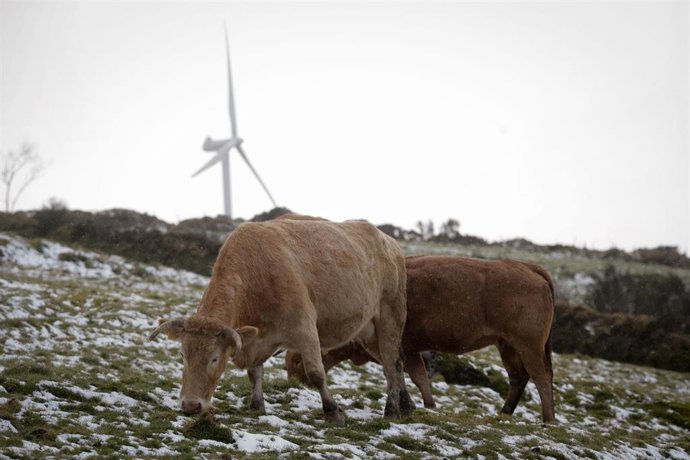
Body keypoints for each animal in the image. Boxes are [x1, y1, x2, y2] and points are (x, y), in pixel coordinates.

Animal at [149, 216, 414, 423]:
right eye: (182, 355)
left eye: (214, 358)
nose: (190, 405)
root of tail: (388, 241)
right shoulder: (255, 339)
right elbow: (254, 373)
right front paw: (257, 405)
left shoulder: (305, 328)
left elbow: (316, 373)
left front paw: (332, 411)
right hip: (368, 333)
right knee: (397, 363)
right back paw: (406, 405)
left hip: (391, 318)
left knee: (391, 364)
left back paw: (391, 410)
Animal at [287, 255, 556, 423]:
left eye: (297, 361)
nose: (294, 382)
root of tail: (528, 268)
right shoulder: (409, 350)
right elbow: (417, 376)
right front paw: (425, 406)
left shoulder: (390, 347)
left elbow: (400, 373)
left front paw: (406, 407)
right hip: (507, 346)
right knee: (519, 378)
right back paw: (505, 413)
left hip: (528, 346)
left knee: (541, 377)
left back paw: (549, 419)